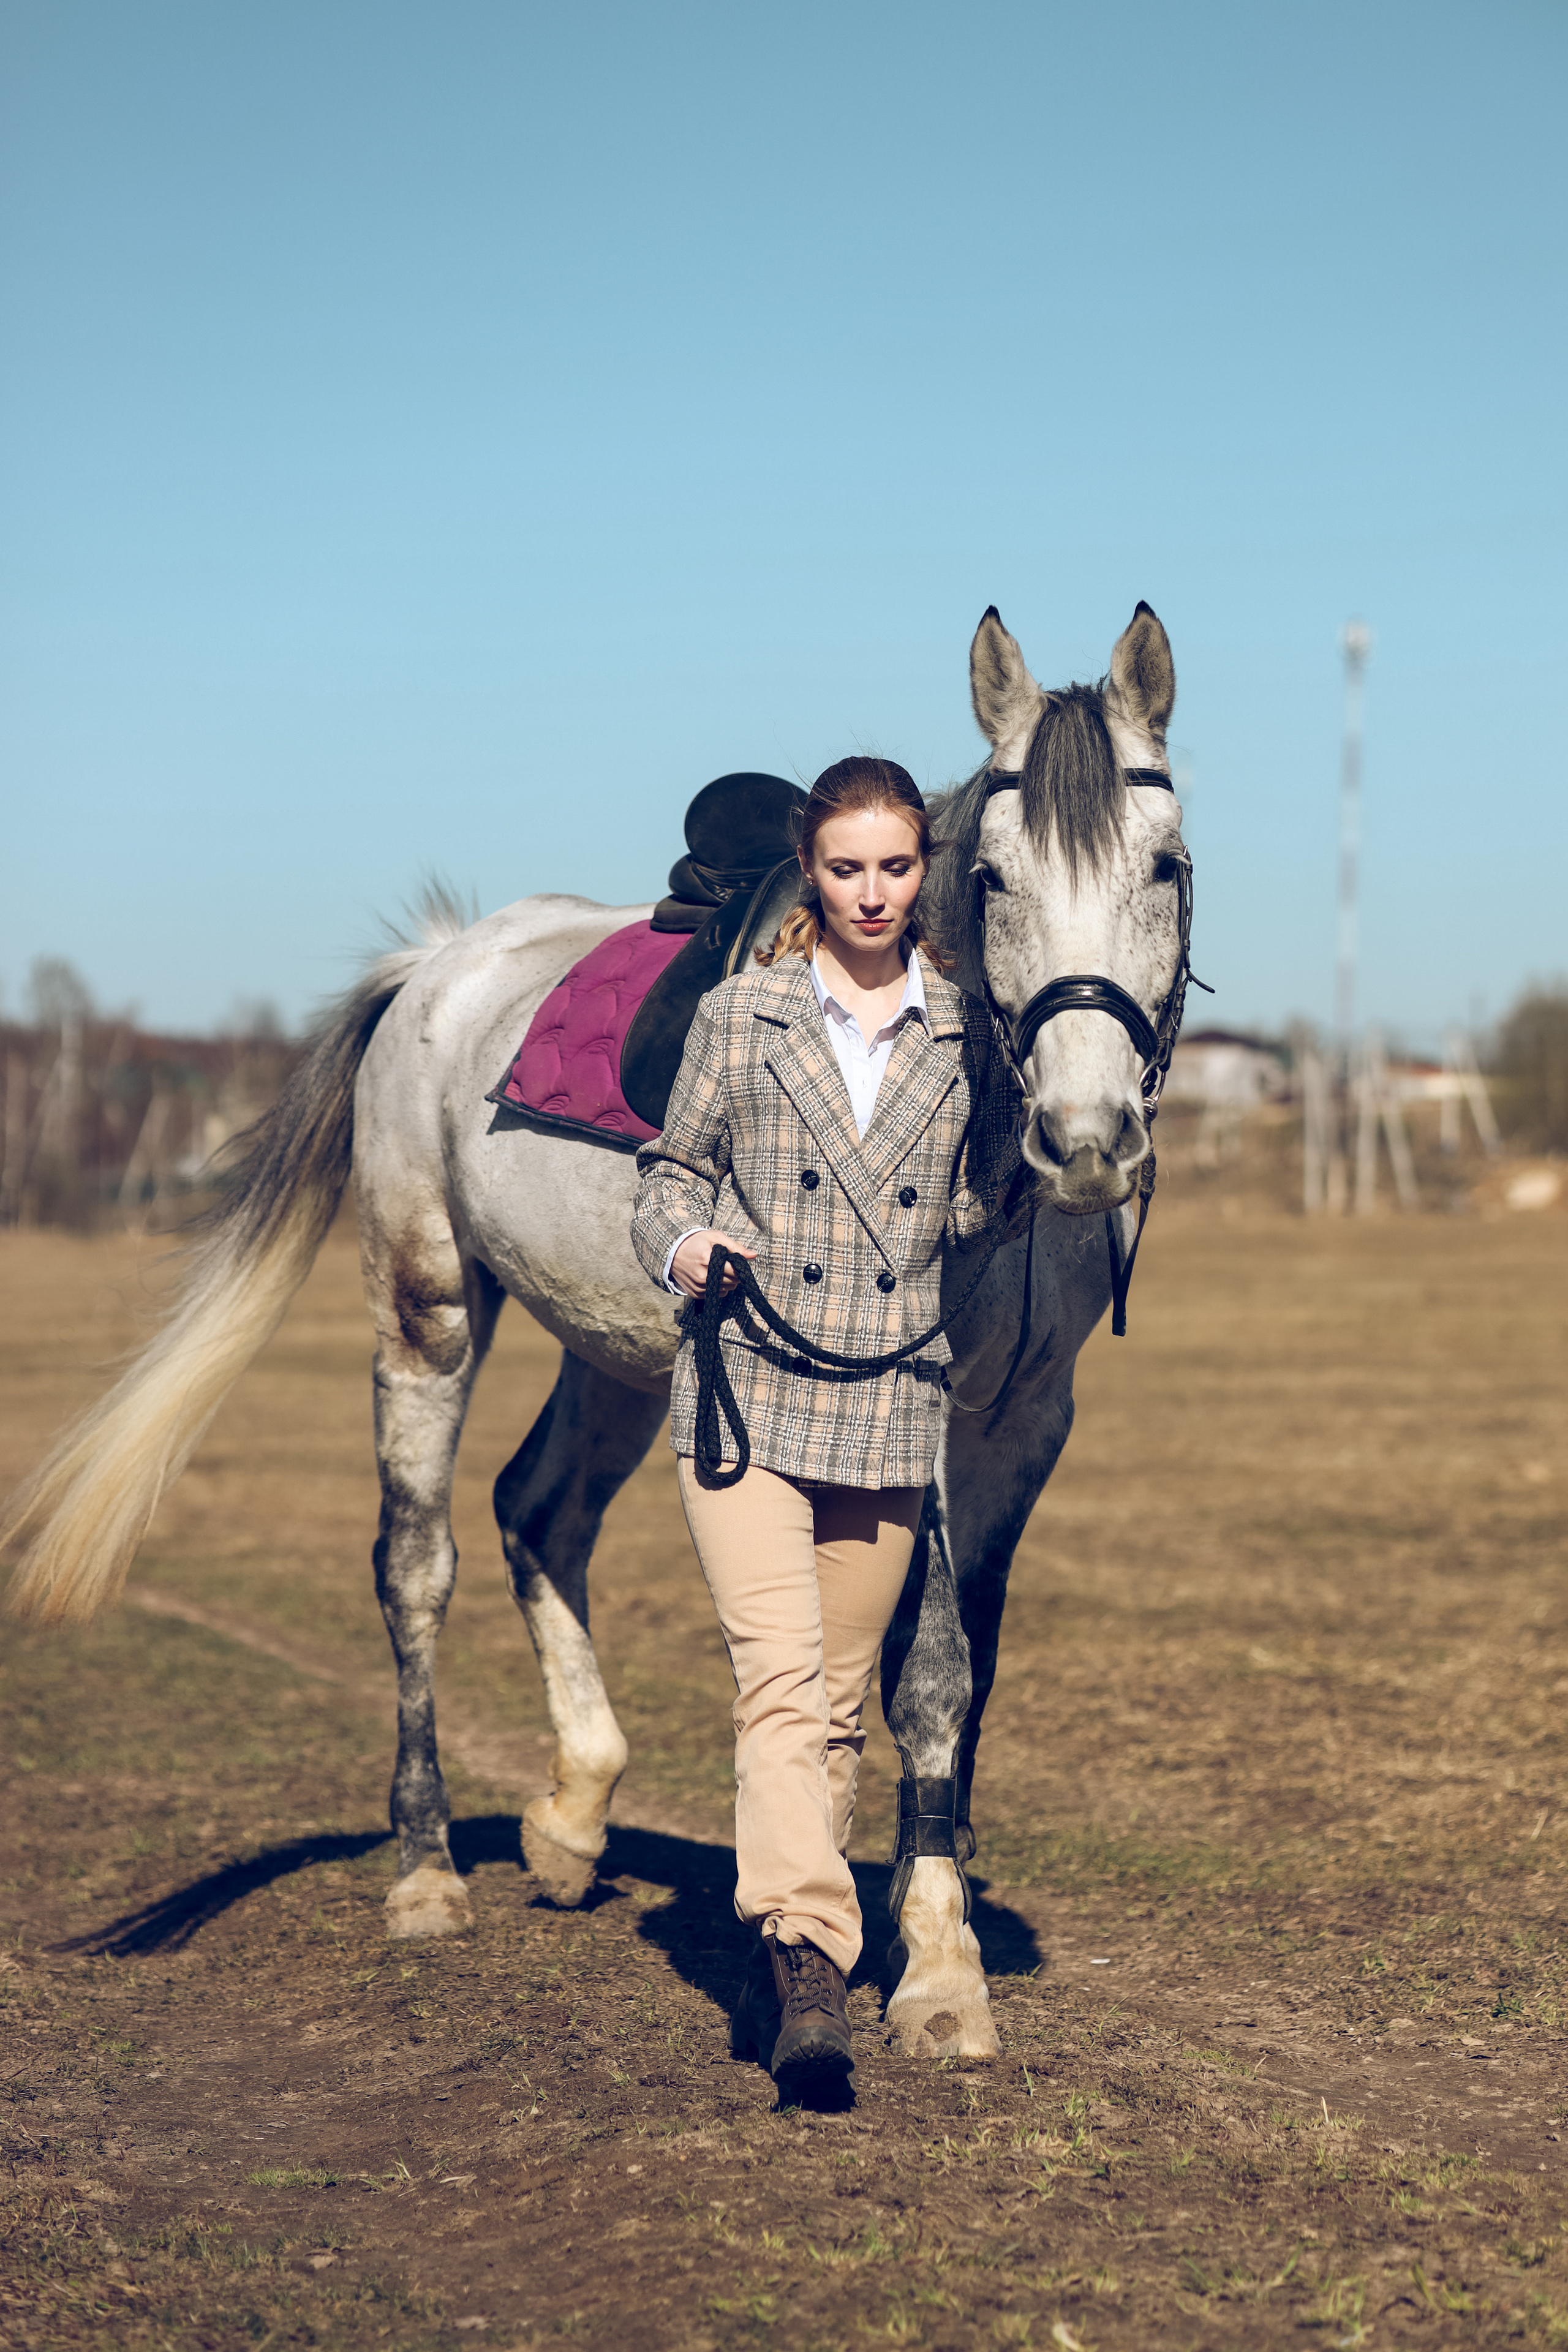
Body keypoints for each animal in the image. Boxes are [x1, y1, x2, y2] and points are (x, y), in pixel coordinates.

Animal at [3, 601, 1193, 2062]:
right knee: (417, 1565)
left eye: (1165, 865)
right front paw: (935, 1967)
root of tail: (435, 967)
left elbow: (965, 1670)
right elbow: (924, 1675)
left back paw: (573, 1818)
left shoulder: (1023, 1425)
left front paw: (927, 1901)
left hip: (623, 1353)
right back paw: (424, 1873)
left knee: (539, 1509)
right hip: (430, 1312)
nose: (1085, 1139)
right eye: (992, 880)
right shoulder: (923, 1420)